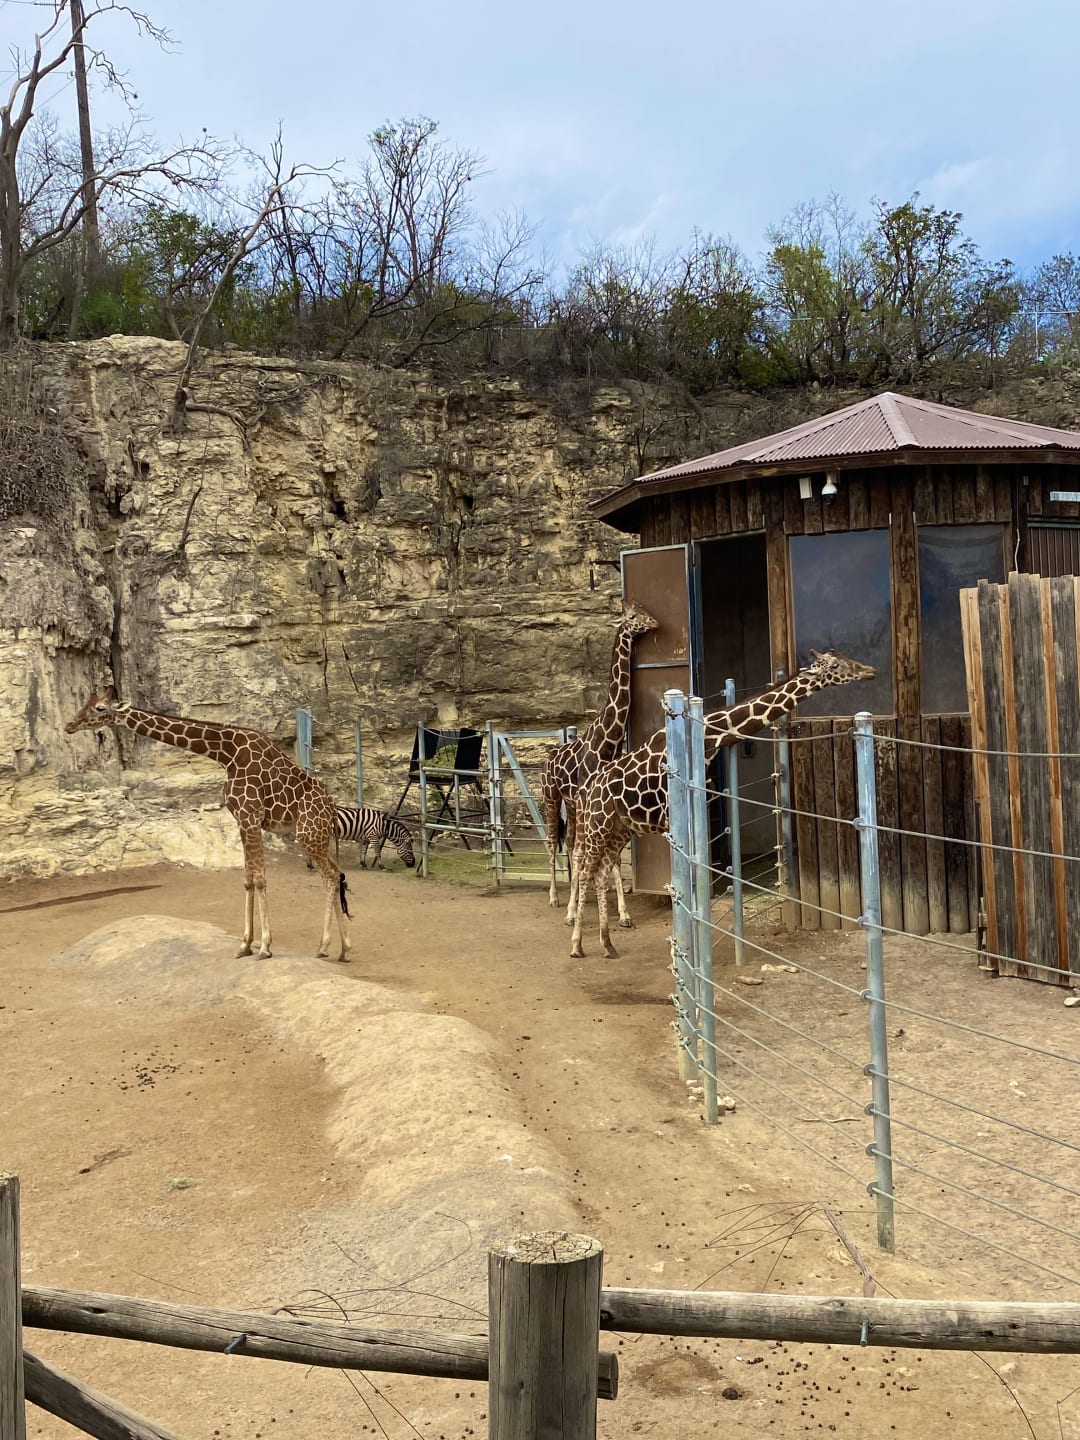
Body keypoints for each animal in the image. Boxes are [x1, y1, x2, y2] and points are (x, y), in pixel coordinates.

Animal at [64, 687, 351, 962]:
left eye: (100, 708)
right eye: (86, 703)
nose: (70, 725)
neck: (225, 753)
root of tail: (332, 810)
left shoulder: (250, 817)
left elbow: (259, 879)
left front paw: (264, 947)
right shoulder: (241, 820)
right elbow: (247, 879)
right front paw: (245, 945)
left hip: (308, 833)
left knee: (329, 875)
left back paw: (324, 946)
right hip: (316, 835)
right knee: (336, 873)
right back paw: (344, 949)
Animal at [540, 600, 659, 911]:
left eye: (645, 611)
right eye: (633, 616)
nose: (654, 622)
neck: (608, 741)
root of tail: (548, 758)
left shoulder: (602, 800)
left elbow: (612, 857)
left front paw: (622, 911)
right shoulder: (588, 798)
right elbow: (588, 852)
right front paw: (577, 906)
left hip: (571, 805)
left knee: (570, 842)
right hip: (551, 797)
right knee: (553, 841)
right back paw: (556, 898)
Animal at [566, 650, 875, 959]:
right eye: (834, 665)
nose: (869, 671)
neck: (707, 739)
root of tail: (588, 789)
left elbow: (694, 875)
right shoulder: (671, 817)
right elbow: (685, 879)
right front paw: (685, 951)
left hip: (618, 831)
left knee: (601, 874)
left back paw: (608, 944)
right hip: (596, 827)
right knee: (585, 871)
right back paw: (577, 944)